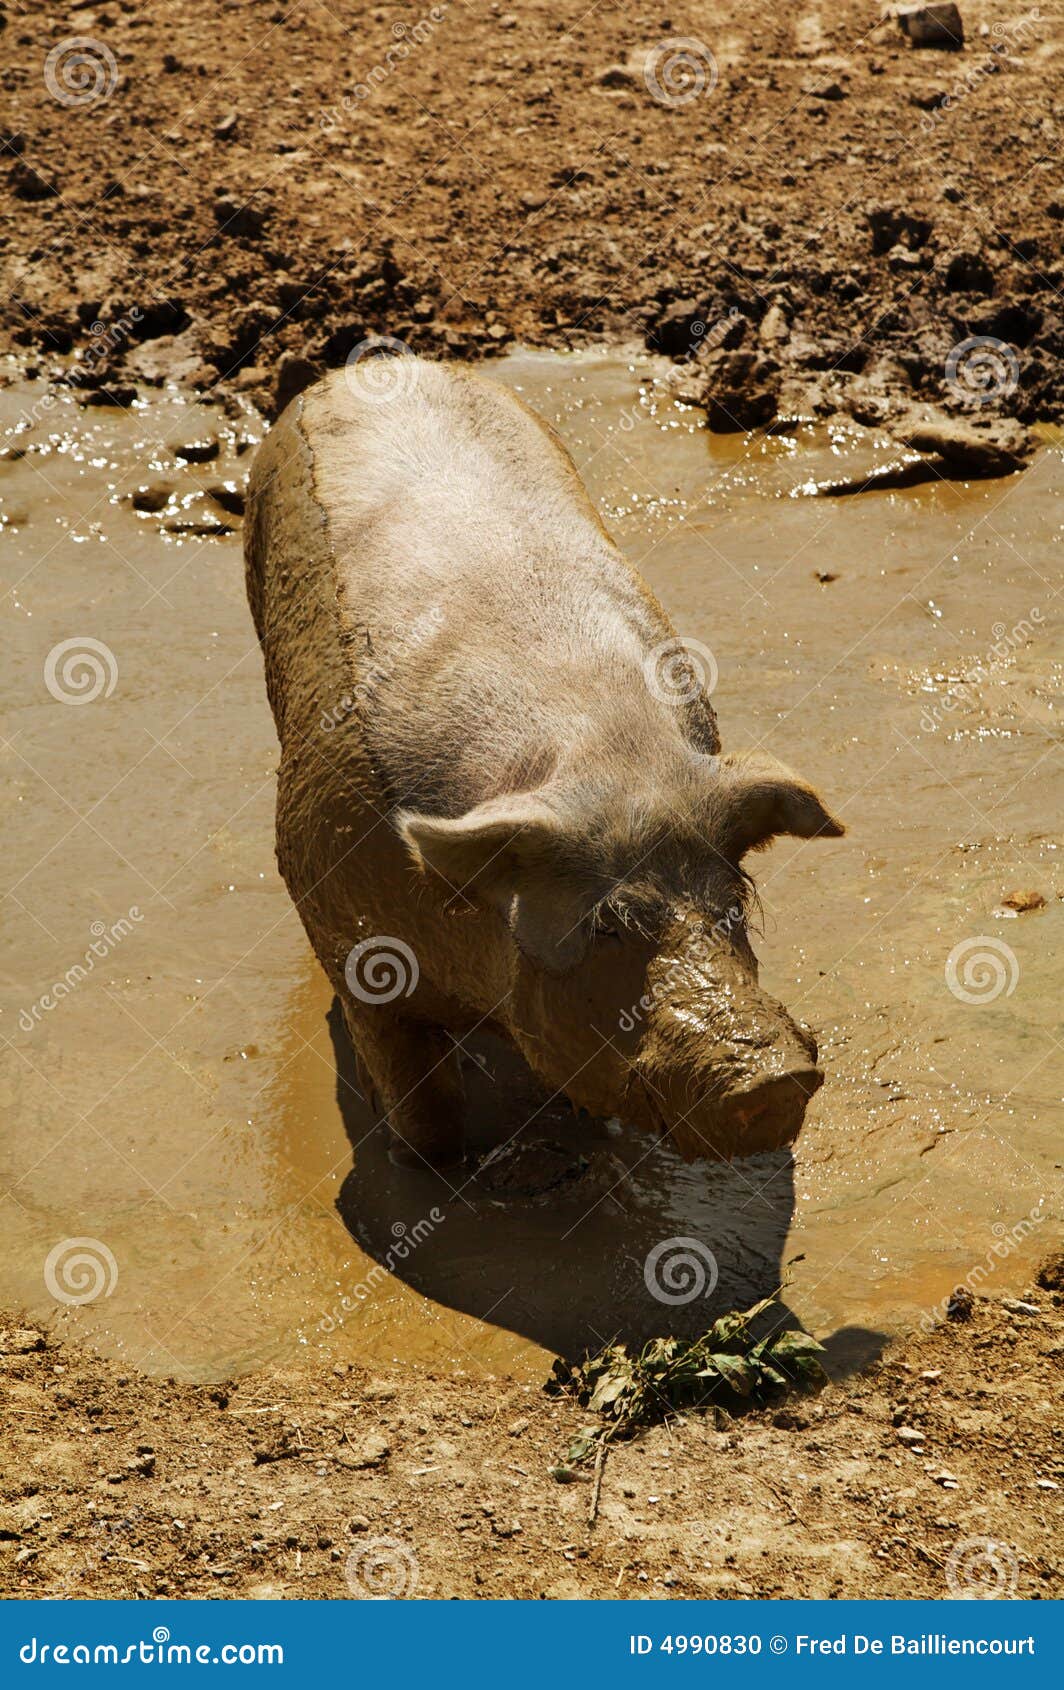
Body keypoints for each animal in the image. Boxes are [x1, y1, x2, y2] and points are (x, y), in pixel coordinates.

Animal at [244, 356, 844, 1171]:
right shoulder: (338, 930)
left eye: (733, 903)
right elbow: (423, 1112)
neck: (605, 758)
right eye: (606, 926)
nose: (773, 1079)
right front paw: (425, 1164)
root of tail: (380, 363)